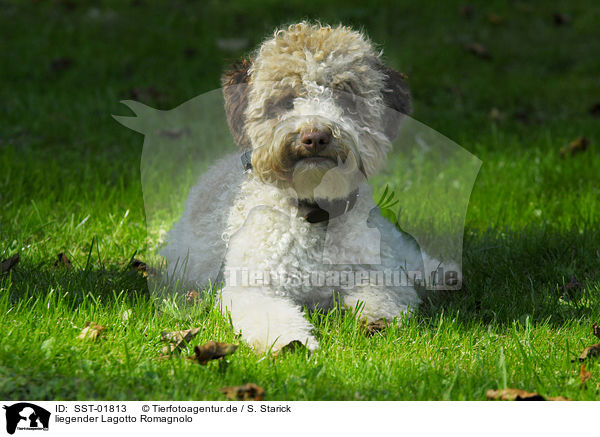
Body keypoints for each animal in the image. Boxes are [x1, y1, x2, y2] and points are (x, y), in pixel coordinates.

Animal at [162, 22, 426, 352]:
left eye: (346, 100)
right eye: (286, 100)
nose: (315, 136)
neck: (315, 214)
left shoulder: (379, 272)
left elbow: (387, 295)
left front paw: (378, 320)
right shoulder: (253, 288)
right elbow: (272, 317)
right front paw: (293, 342)